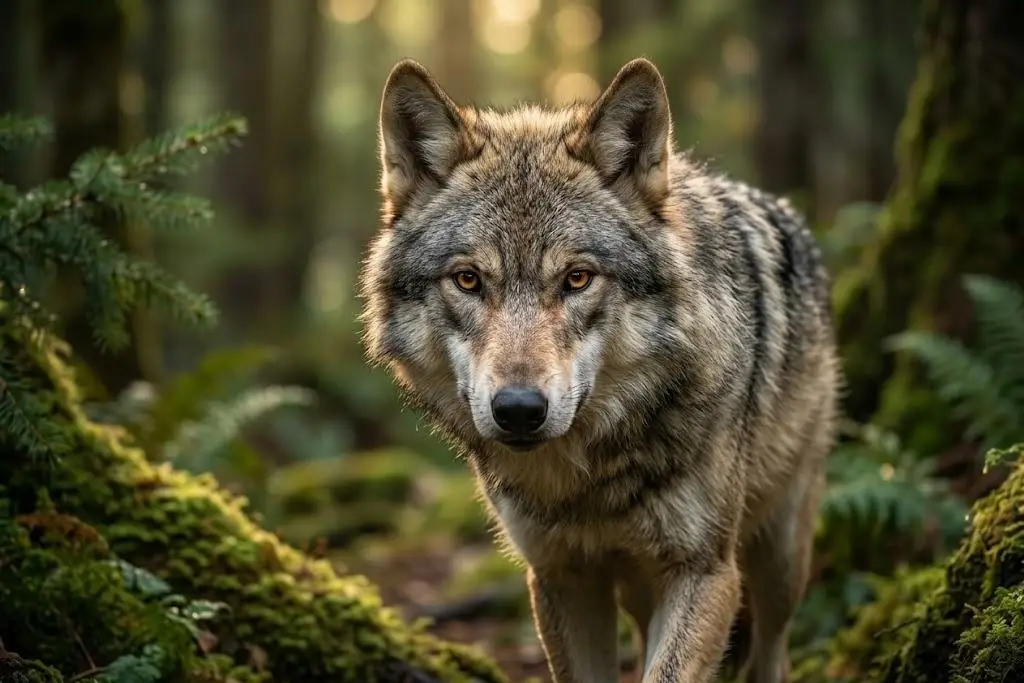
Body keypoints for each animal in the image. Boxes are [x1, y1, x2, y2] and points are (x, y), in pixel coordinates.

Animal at [357, 56, 841, 683]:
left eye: (577, 278)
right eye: (467, 279)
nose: (518, 411)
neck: (591, 481)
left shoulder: (705, 571)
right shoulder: (562, 577)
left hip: (781, 557)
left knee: (773, 649)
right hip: (638, 588)